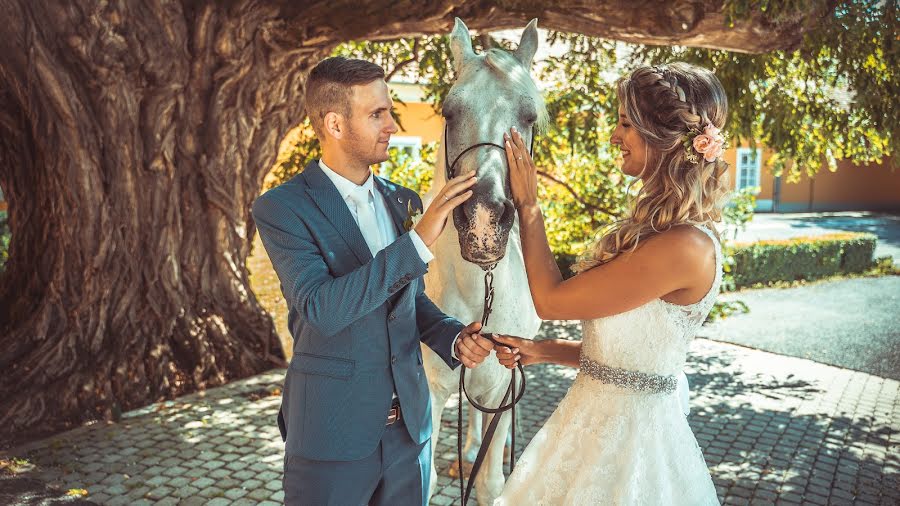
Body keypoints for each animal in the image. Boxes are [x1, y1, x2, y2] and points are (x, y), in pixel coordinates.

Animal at [424, 17, 548, 504]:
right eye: (449, 112)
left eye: (530, 116)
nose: (482, 220)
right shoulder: (431, 389)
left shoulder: (500, 387)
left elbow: (493, 482)